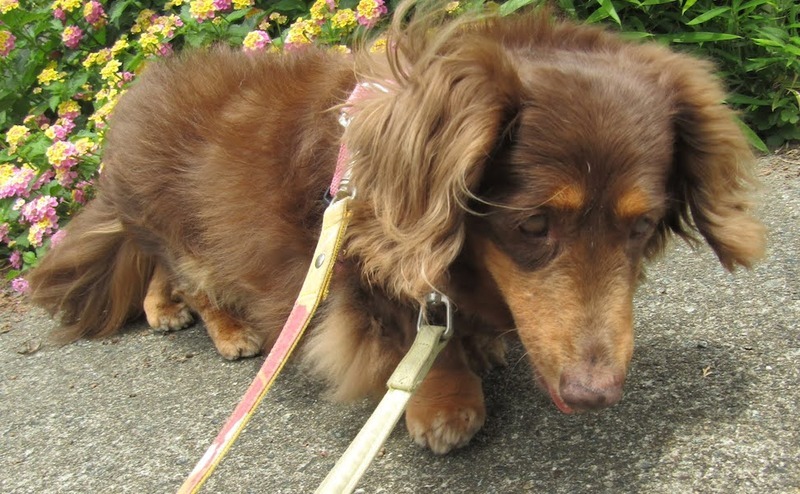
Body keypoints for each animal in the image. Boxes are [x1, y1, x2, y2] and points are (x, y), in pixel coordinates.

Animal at [27, 4, 766, 454]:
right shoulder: (359, 264)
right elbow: (406, 330)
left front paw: (481, 343)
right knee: (190, 273)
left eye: (641, 227)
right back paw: (228, 327)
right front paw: (444, 403)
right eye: (532, 223)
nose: (593, 397)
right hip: (186, 227)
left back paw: (162, 308)